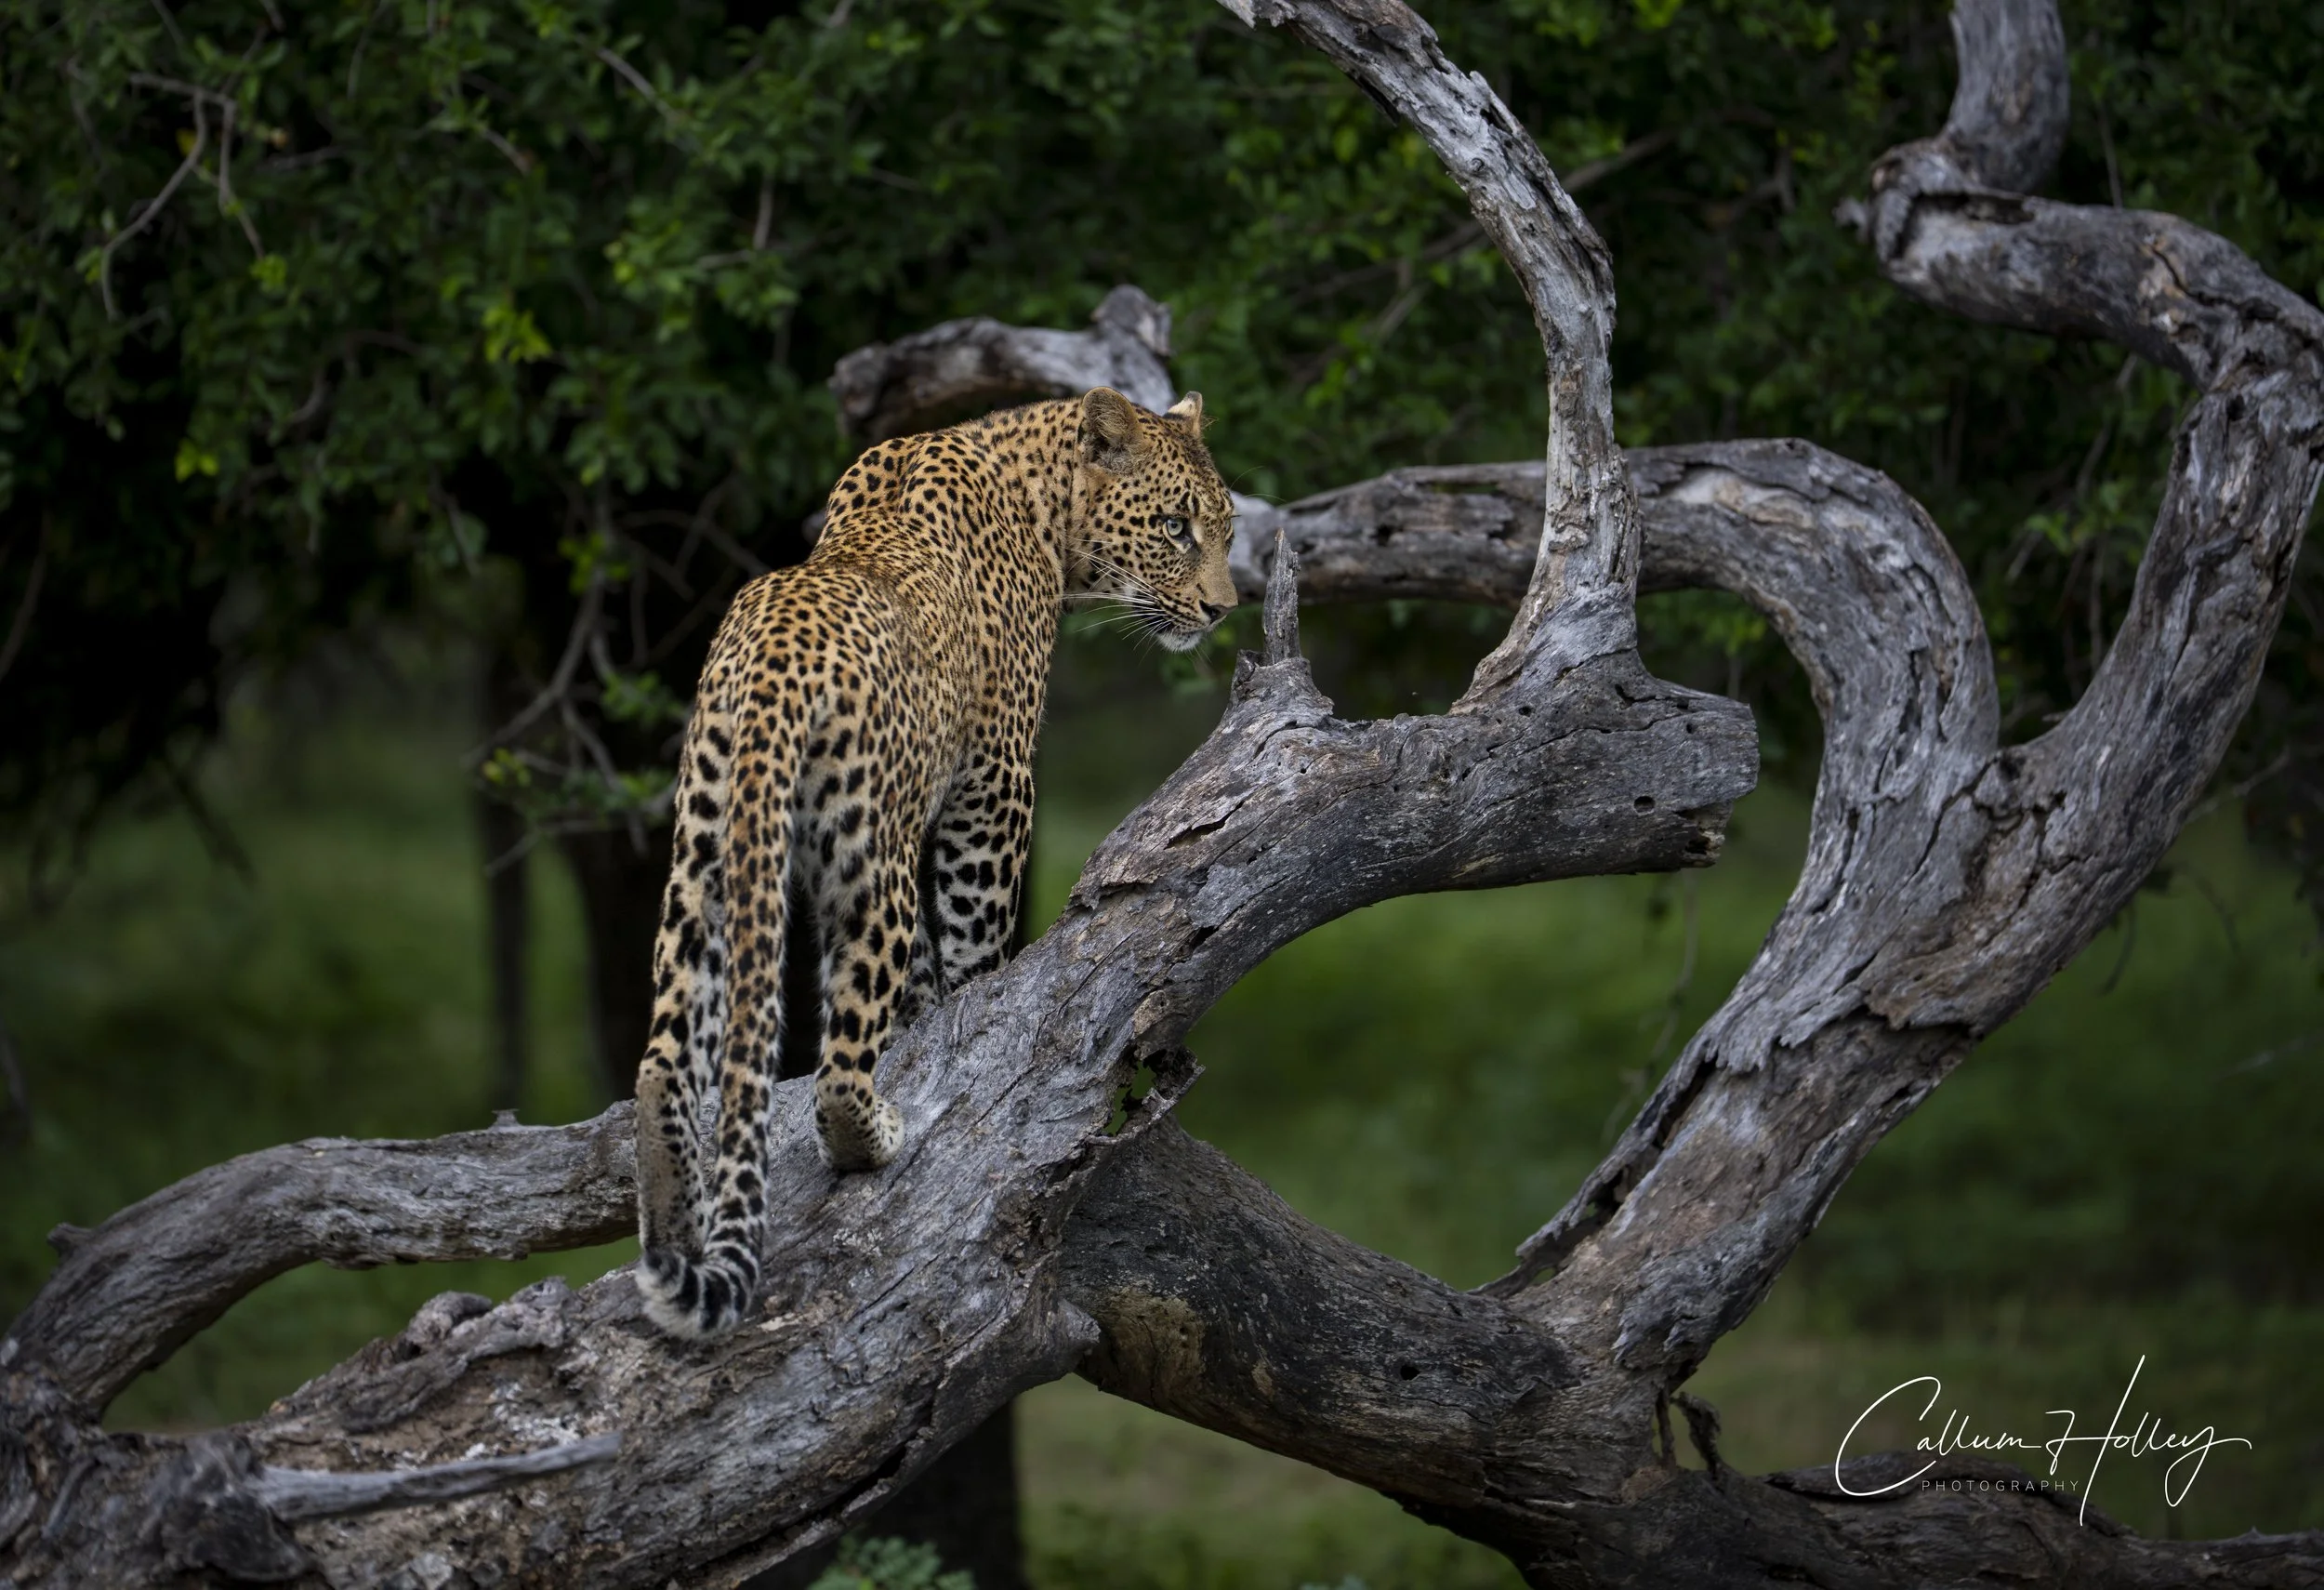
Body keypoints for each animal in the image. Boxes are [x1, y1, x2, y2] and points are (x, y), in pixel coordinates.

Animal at [633, 386, 1238, 1338]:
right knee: (837, 1067)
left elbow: (923, 973)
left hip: (702, 851)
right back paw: (876, 1135)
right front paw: (982, 1018)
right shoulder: (995, 781)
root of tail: (772, 667)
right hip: (865, 856)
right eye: (1176, 528)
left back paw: (671, 1229)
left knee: (664, 1062)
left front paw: (930, 1021)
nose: (1223, 609)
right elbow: (971, 931)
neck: (1042, 503)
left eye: (1227, 532)